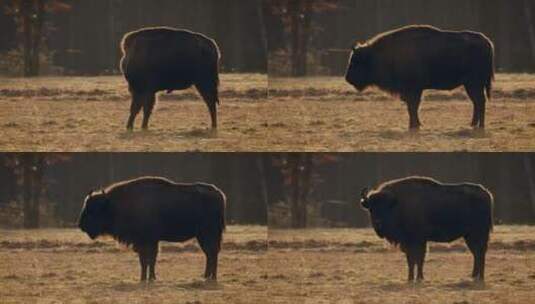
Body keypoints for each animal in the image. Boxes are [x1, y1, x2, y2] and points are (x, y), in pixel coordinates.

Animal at [78, 177, 226, 282]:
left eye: (93, 209)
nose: (81, 225)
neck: (113, 205)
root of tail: (219, 193)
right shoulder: (147, 242)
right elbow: (148, 260)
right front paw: (149, 278)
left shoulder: (146, 241)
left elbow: (147, 259)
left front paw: (145, 278)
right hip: (204, 236)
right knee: (210, 254)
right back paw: (207, 276)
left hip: (208, 234)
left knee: (212, 253)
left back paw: (211, 277)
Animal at [348, 25, 494, 131]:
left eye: (356, 61)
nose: (348, 78)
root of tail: (486, 41)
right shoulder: (412, 91)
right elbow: (412, 107)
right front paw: (415, 125)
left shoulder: (413, 89)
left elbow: (413, 107)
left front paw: (414, 126)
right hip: (471, 85)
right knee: (477, 102)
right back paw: (473, 124)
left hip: (474, 84)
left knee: (480, 102)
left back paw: (480, 126)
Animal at [360, 177, 494, 282]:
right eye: (371, 209)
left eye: (386, 207)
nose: (378, 222)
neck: (397, 204)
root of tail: (486, 193)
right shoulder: (408, 242)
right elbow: (411, 260)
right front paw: (411, 278)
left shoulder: (418, 240)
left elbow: (419, 258)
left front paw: (418, 278)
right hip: (469, 236)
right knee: (476, 253)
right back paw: (474, 276)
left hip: (479, 233)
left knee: (480, 253)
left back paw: (480, 277)